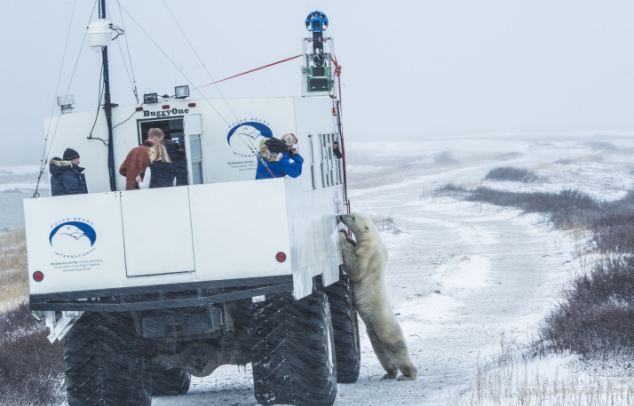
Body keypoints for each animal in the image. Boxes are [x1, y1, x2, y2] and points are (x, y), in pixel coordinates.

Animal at [338, 213, 418, 380]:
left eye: (352, 217)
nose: (341, 216)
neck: (374, 238)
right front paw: (348, 238)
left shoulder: (368, 252)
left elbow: (356, 269)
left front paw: (342, 237)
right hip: (373, 331)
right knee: (381, 351)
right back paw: (390, 373)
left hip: (384, 325)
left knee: (396, 346)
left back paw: (408, 374)